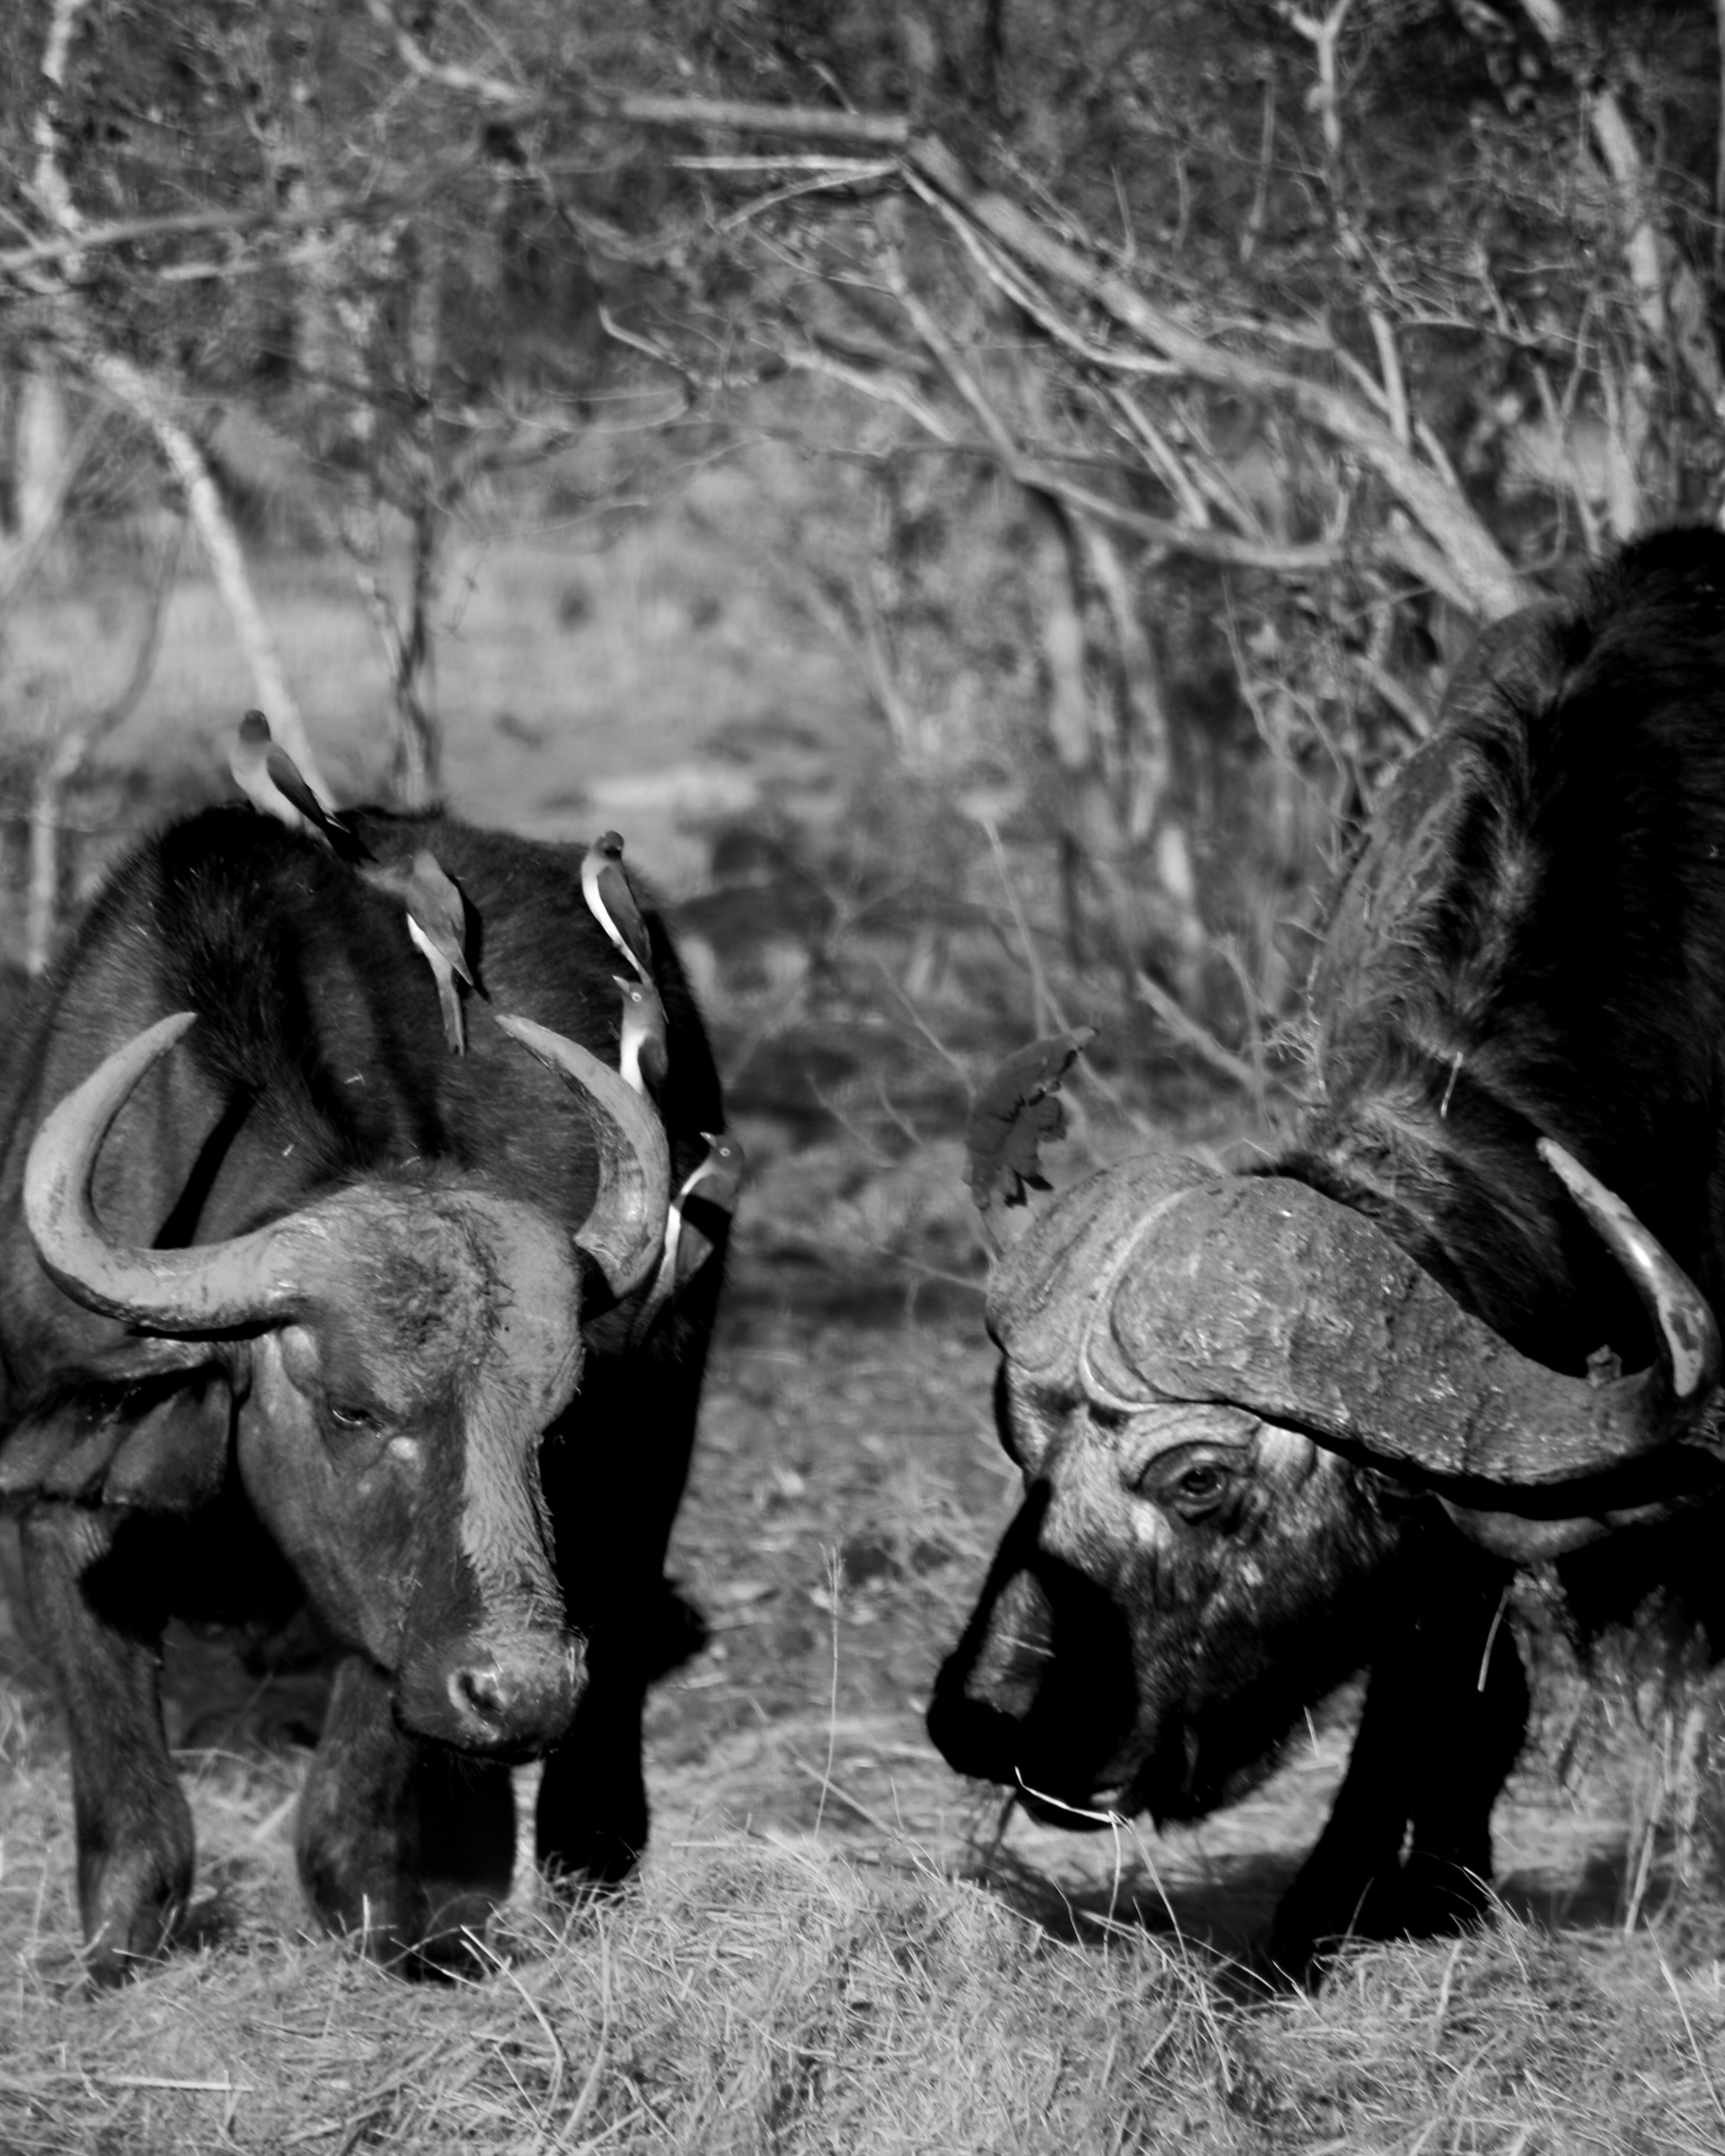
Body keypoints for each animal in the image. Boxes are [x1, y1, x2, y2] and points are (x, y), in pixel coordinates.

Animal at [0, 805, 728, 1982]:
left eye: (553, 1424)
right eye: (352, 1409)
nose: (525, 1691)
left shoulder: (403, 1627)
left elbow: (350, 1814)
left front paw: (407, 1934)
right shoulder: (59, 1498)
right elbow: (127, 1796)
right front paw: (110, 1956)